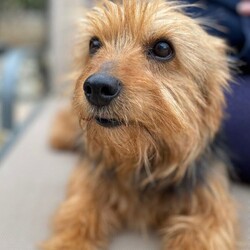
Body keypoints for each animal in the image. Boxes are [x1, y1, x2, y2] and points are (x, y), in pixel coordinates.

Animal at [42, 0, 237, 249]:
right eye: (94, 44)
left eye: (163, 48)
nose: (97, 87)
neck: (139, 159)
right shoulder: (85, 190)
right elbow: (76, 217)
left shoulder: (210, 215)